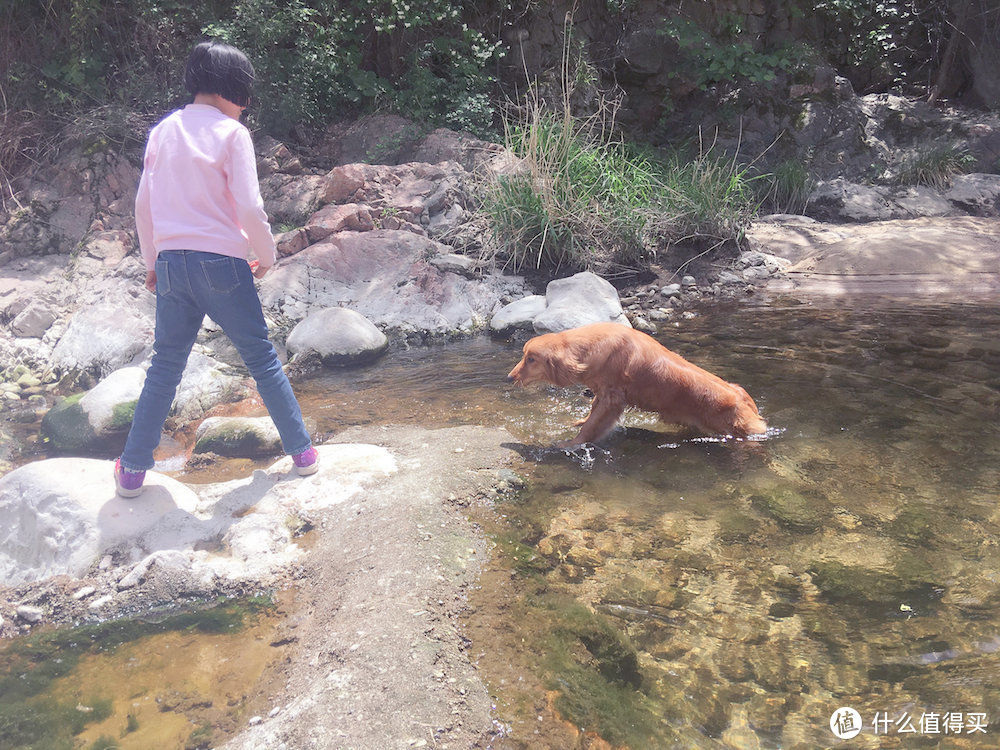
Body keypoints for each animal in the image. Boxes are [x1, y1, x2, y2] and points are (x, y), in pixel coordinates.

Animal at [508, 322, 764, 450]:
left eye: (531, 359)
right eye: (524, 355)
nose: (509, 378)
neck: (589, 349)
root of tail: (743, 400)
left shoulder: (612, 400)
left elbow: (590, 427)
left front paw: (571, 444)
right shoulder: (603, 394)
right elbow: (590, 415)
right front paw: (578, 422)